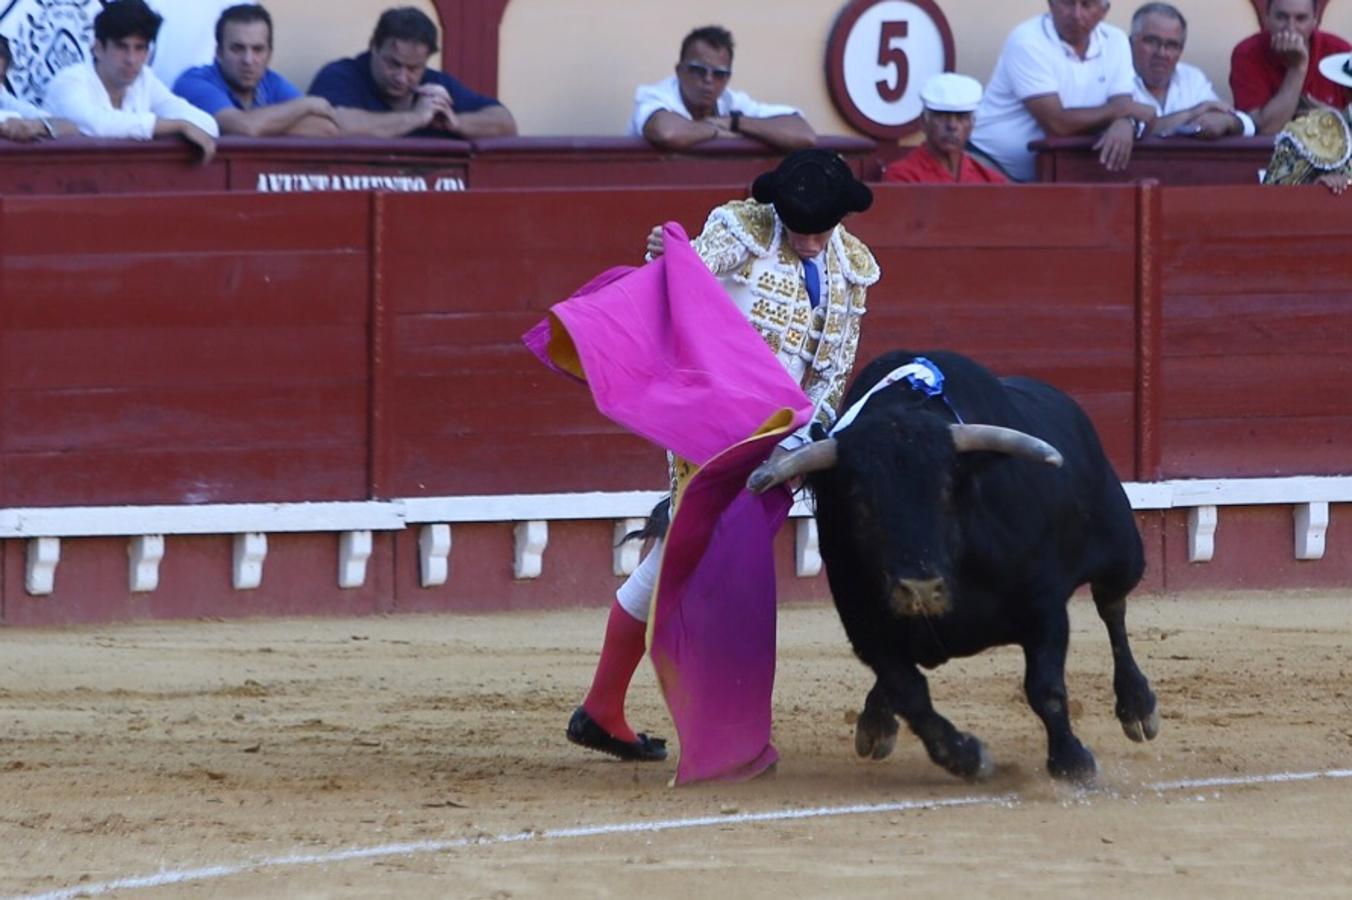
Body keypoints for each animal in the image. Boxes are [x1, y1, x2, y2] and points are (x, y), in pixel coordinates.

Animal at [751, 351, 1162, 778]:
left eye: (947, 490)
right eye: (859, 501)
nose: (919, 590)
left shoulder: (1043, 606)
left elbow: (1044, 687)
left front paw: (1071, 761)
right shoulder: (865, 627)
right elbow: (909, 692)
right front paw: (965, 756)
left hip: (1123, 554)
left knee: (1112, 607)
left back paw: (1137, 707)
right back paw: (877, 723)